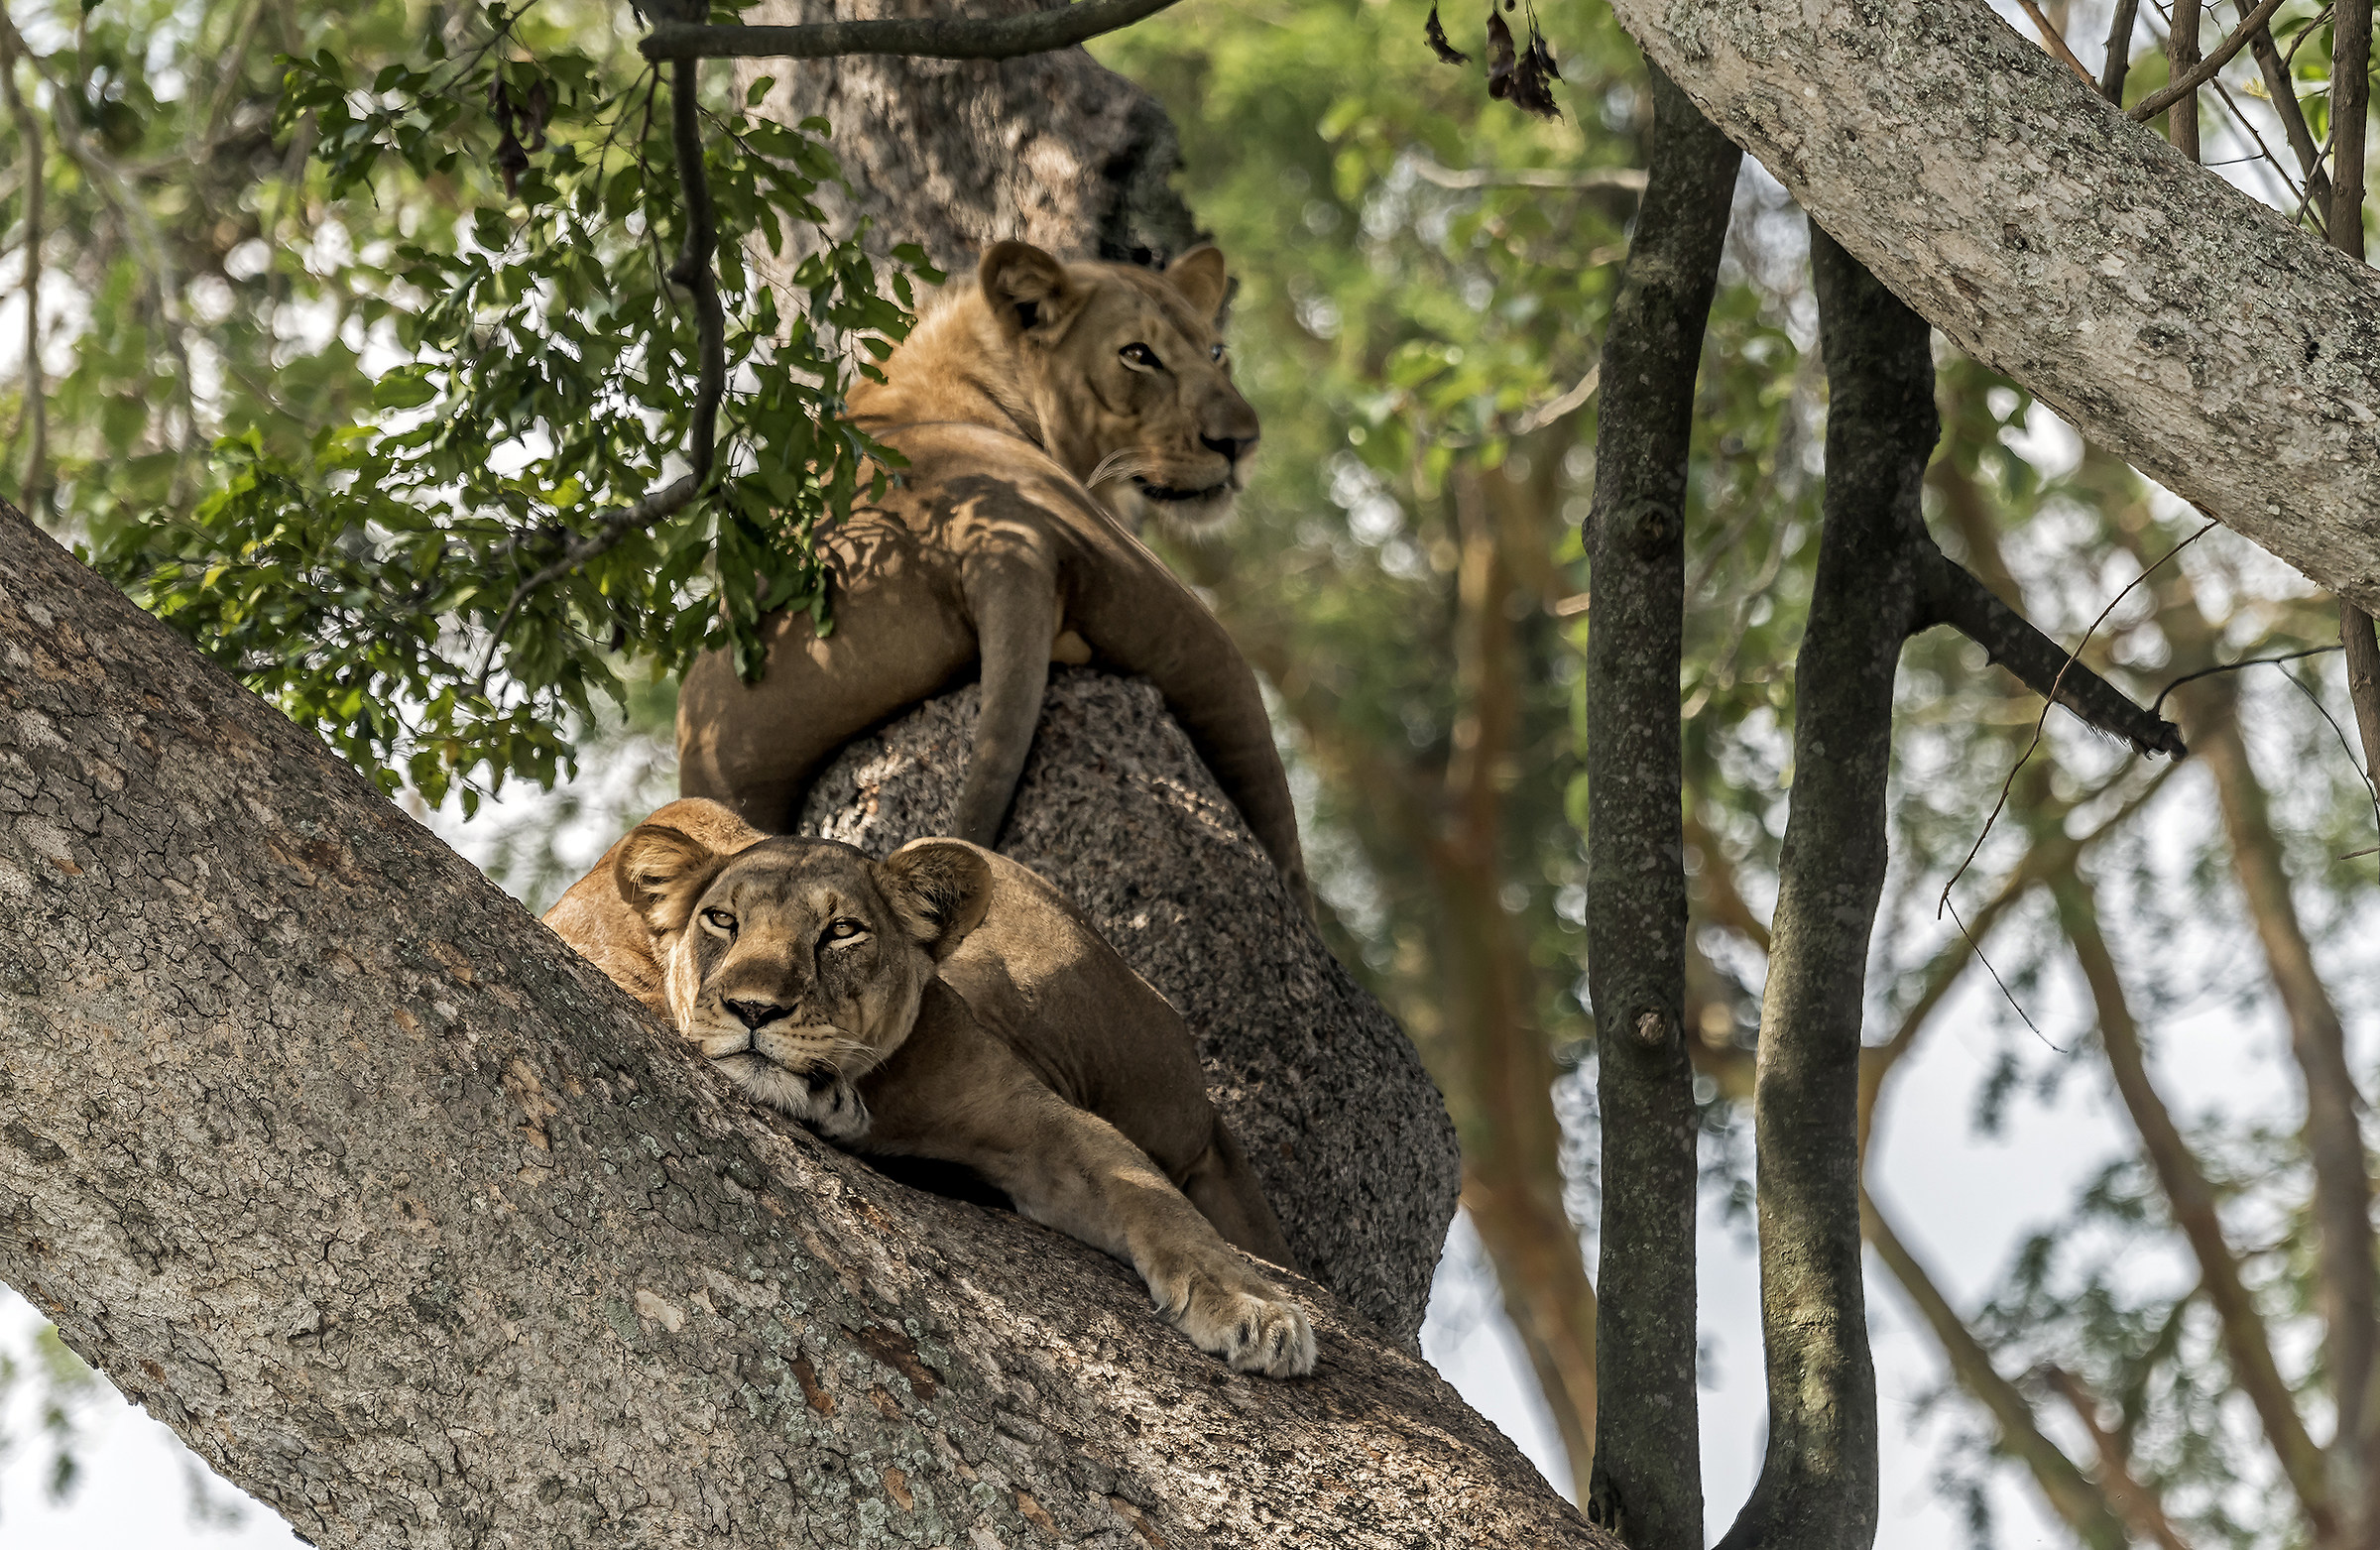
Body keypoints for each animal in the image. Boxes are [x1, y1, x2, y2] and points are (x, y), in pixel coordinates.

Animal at [543, 797, 1316, 1378]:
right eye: (722, 920)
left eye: (841, 931)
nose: (754, 1010)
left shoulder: (1032, 1118)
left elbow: (1152, 1196)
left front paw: (1254, 1308)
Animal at [674, 242, 1306, 900]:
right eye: (1138, 355)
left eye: (1216, 352)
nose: (1241, 443)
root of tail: (993, 538)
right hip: (1200, 638)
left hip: (727, 764)